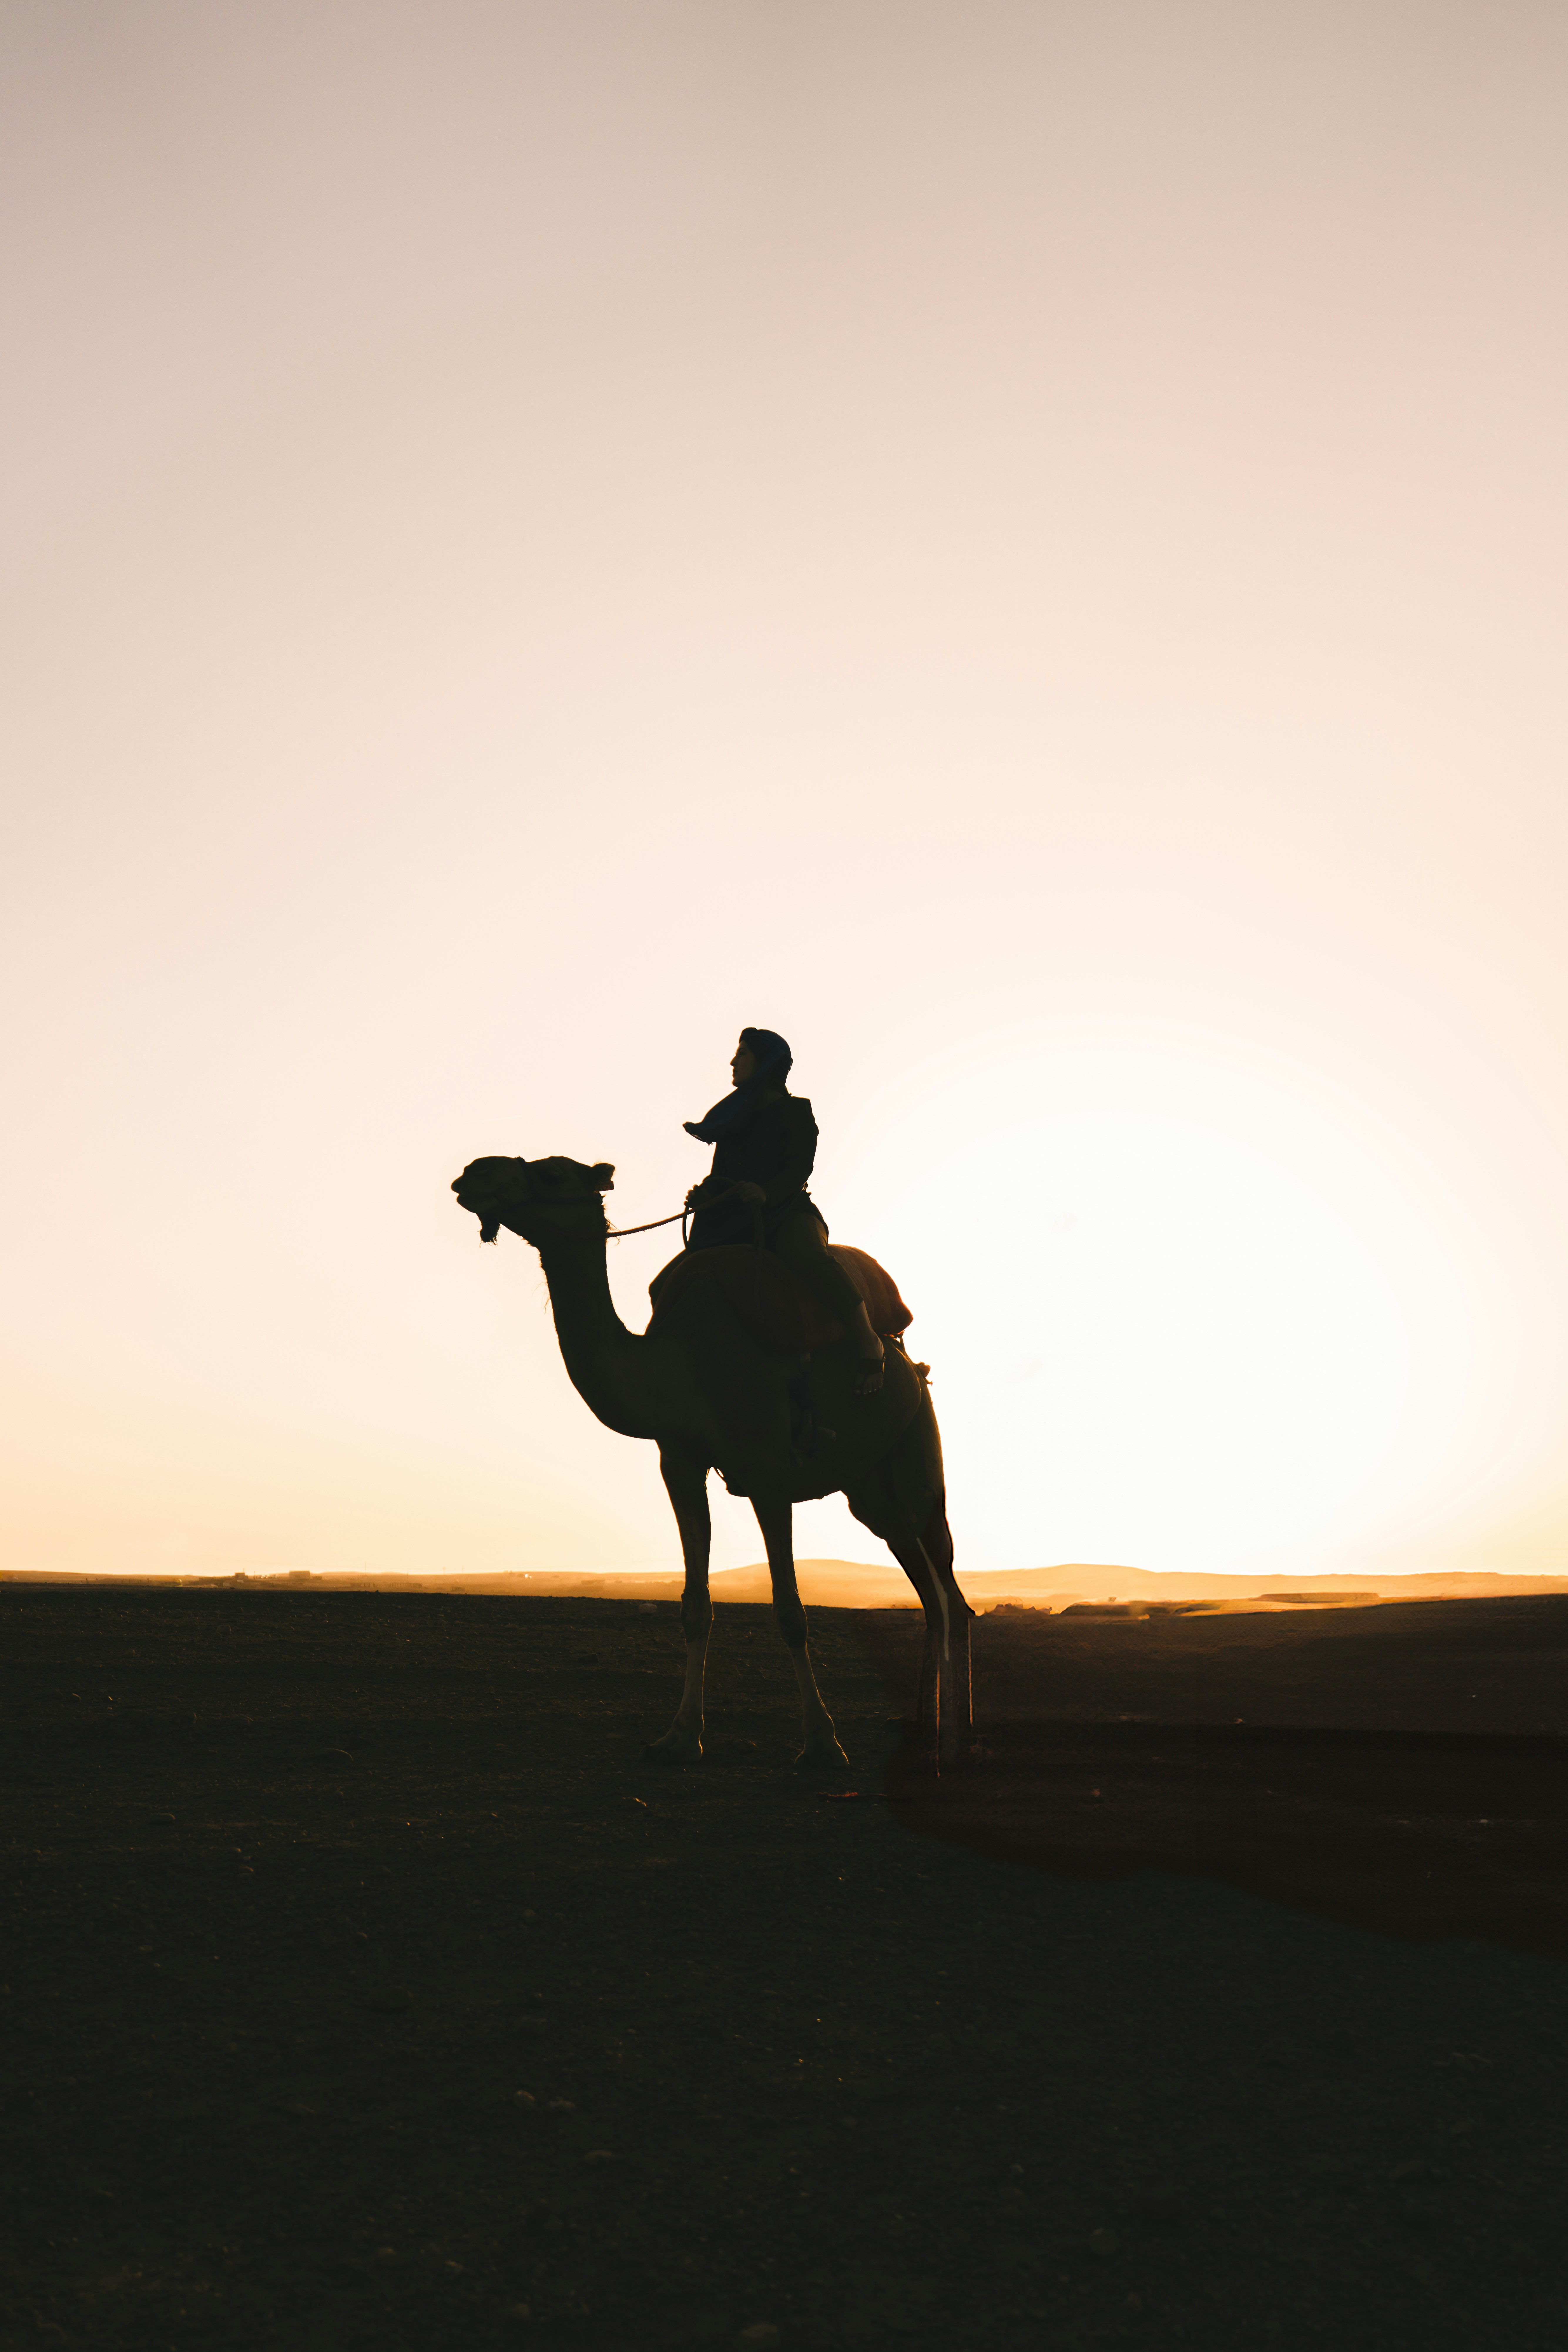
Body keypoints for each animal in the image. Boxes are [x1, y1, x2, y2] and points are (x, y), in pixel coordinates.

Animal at [450, 1154, 973, 1769]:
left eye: (553, 1172)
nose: (473, 1173)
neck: (684, 1365)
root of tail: (906, 1360)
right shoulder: (679, 1463)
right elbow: (695, 1606)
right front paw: (680, 1736)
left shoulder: (768, 1470)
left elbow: (790, 1611)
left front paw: (822, 1742)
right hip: (871, 1493)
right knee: (930, 1596)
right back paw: (921, 1730)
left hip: (918, 1455)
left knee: (948, 1588)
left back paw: (957, 1741)